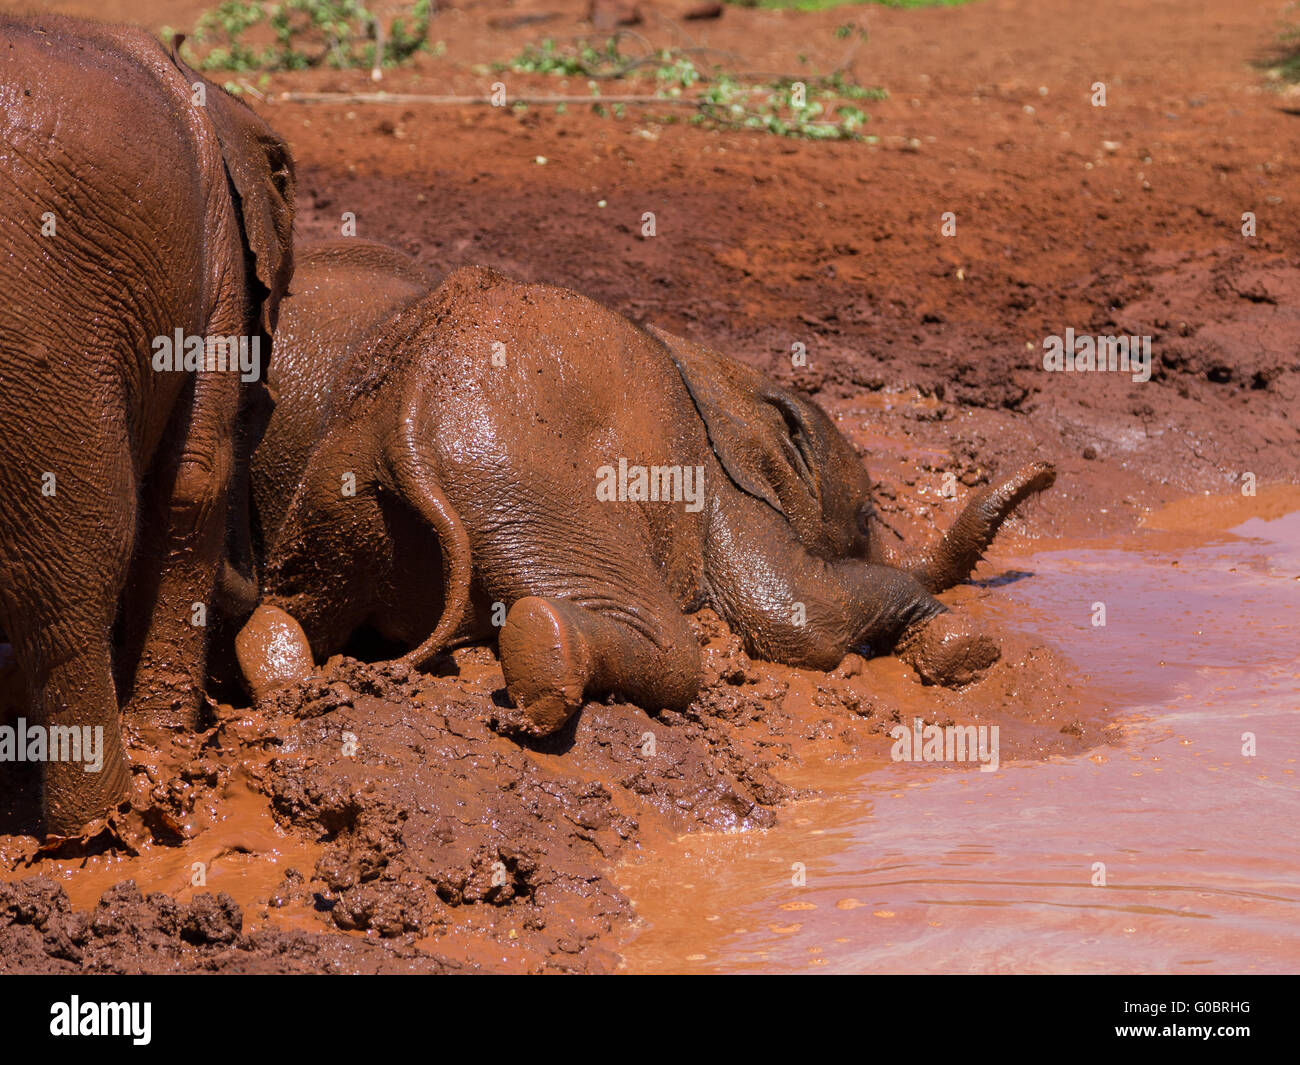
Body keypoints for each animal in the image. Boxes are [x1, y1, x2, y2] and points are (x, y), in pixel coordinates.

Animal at [0, 15, 295, 834]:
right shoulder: (216, 255)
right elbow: (194, 481)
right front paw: (168, 748)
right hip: (44, 342)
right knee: (69, 580)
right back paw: (98, 826)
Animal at [237, 262, 1054, 737]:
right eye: (862, 521)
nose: (1045, 470)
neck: (726, 371)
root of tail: (401, 409)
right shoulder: (717, 483)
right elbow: (799, 616)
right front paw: (970, 649)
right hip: (534, 490)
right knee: (677, 655)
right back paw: (545, 656)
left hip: (343, 498)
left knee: (300, 607)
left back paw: (278, 671)